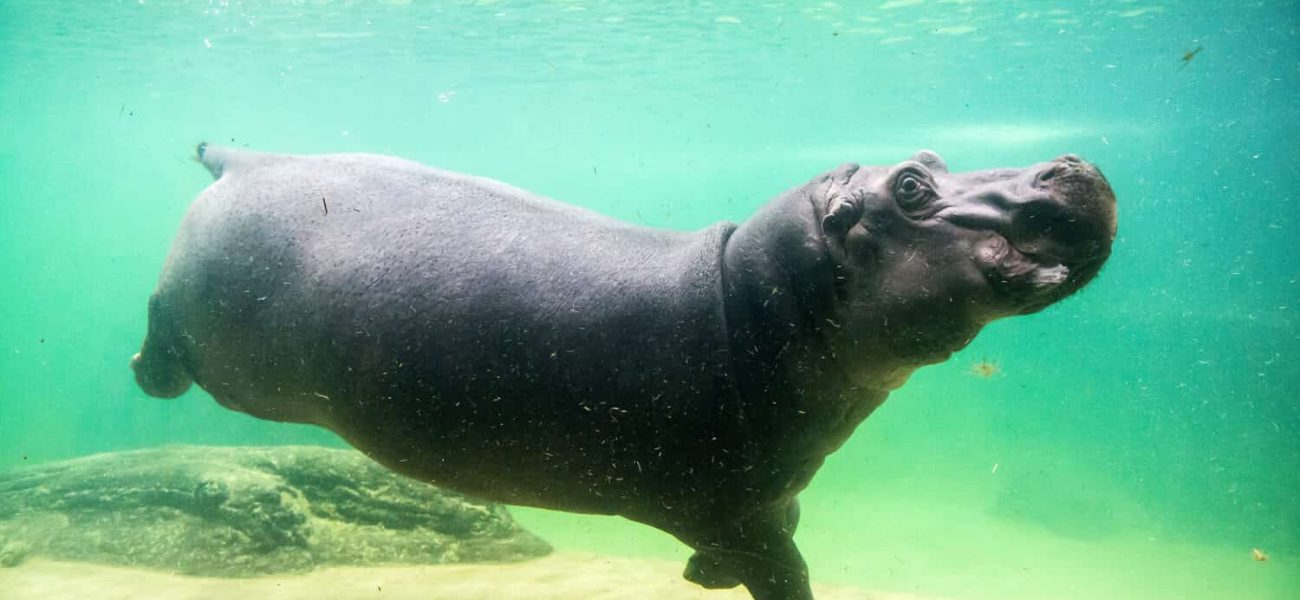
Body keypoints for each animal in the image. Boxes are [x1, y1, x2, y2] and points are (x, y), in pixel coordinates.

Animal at [131, 144, 1116, 599]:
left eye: (936, 162)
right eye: (911, 186)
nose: (1069, 164)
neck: (755, 296)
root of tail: (245, 158)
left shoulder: (770, 498)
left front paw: (700, 579)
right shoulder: (740, 513)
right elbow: (789, 574)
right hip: (224, 352)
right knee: (163, 334)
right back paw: (148, 378)